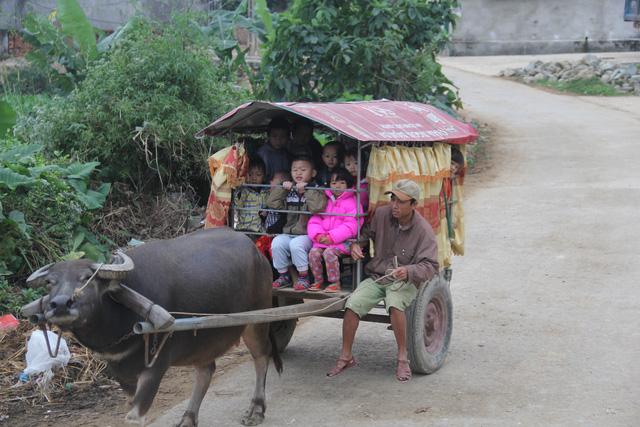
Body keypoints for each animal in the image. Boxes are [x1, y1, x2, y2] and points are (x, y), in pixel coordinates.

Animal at [26, 227, 282, 424]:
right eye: (49, 282)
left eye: (87, 279)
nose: (60, 304)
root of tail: (255, 250)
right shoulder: (122, 372)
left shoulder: (156, 365)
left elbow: (134, 418)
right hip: (204, 337)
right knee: (205, 370)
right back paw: (188, 418)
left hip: (257, 319)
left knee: (262, 356)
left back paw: (256, 409)